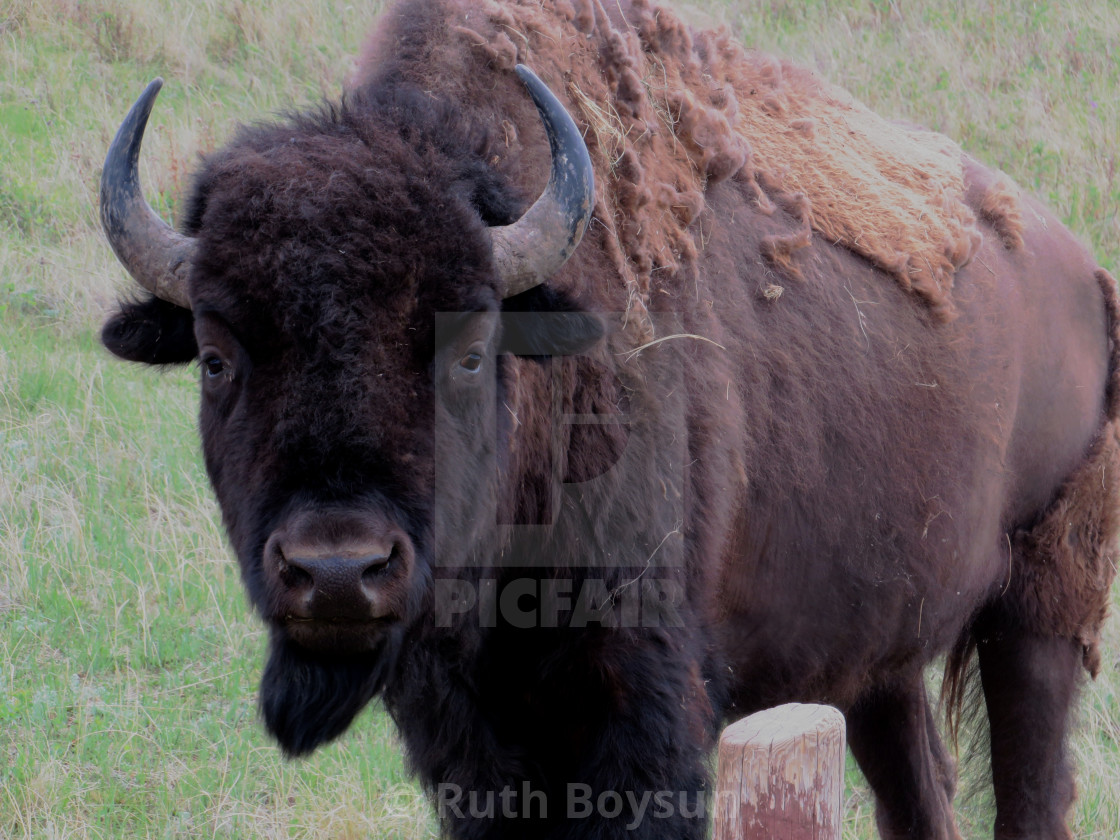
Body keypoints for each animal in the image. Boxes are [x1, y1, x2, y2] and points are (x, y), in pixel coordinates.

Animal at [100, 0, 1115, 837]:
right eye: (218, 357)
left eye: (471, 349)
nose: (338, 570)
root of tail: (1080, 272)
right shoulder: (464, 730)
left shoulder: (645, 706)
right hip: (876, 657)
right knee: (917, 790)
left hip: (1038, 615)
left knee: (1031, 792)